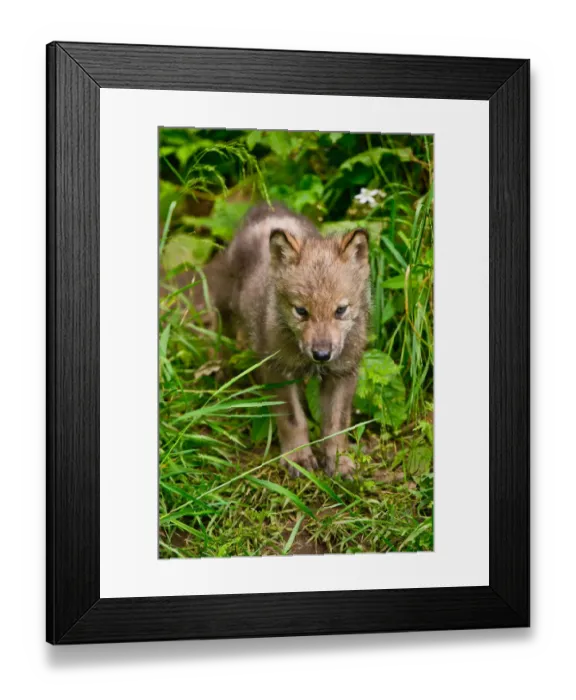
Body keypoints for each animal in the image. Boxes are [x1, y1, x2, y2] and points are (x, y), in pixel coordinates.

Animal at [196, 203, 371, 477]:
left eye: (340, 310)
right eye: (301, 311)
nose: (321, 354)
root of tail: (268, 207)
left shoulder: (343, 372)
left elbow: (336, 424)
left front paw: (339, 462)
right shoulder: (278, 370)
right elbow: (293, 420)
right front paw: (298, 458)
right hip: (226, 302)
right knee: (219, 327)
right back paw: (218, 368)